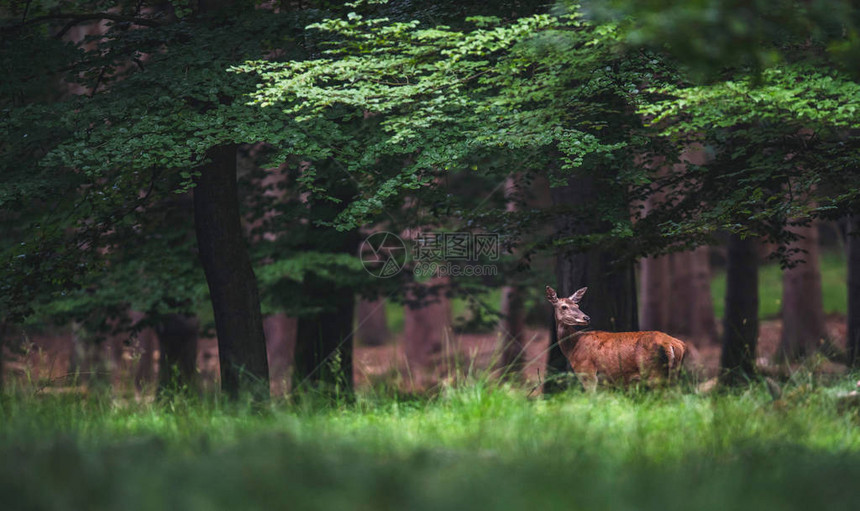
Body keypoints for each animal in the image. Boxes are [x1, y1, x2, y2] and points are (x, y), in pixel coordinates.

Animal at [552, 286, 684, 390]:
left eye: (577, 305)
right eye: (564, 307)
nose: (586, 318)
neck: (573, 348)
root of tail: (671, 344)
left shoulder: (587, 372)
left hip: (653, 371)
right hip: (674, 372)